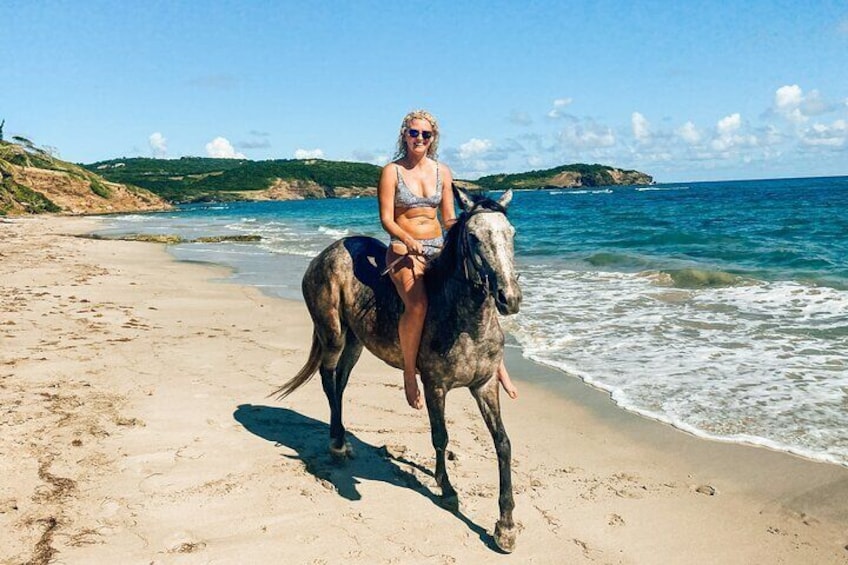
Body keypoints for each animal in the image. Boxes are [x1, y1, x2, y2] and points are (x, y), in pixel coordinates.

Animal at [274, 185, 520, 552]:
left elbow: (502, 443)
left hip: (356, 342)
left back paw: (343, 439)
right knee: (328, 380)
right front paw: (447, 490)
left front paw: (505, 526)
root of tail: (324, 255)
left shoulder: (486, 385)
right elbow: (440, 436)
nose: (509, 298)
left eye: (511, 233)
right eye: (475, 238)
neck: (465, 320)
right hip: (333, 336)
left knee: (340, 383)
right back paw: (337, 445)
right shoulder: (434, 385)